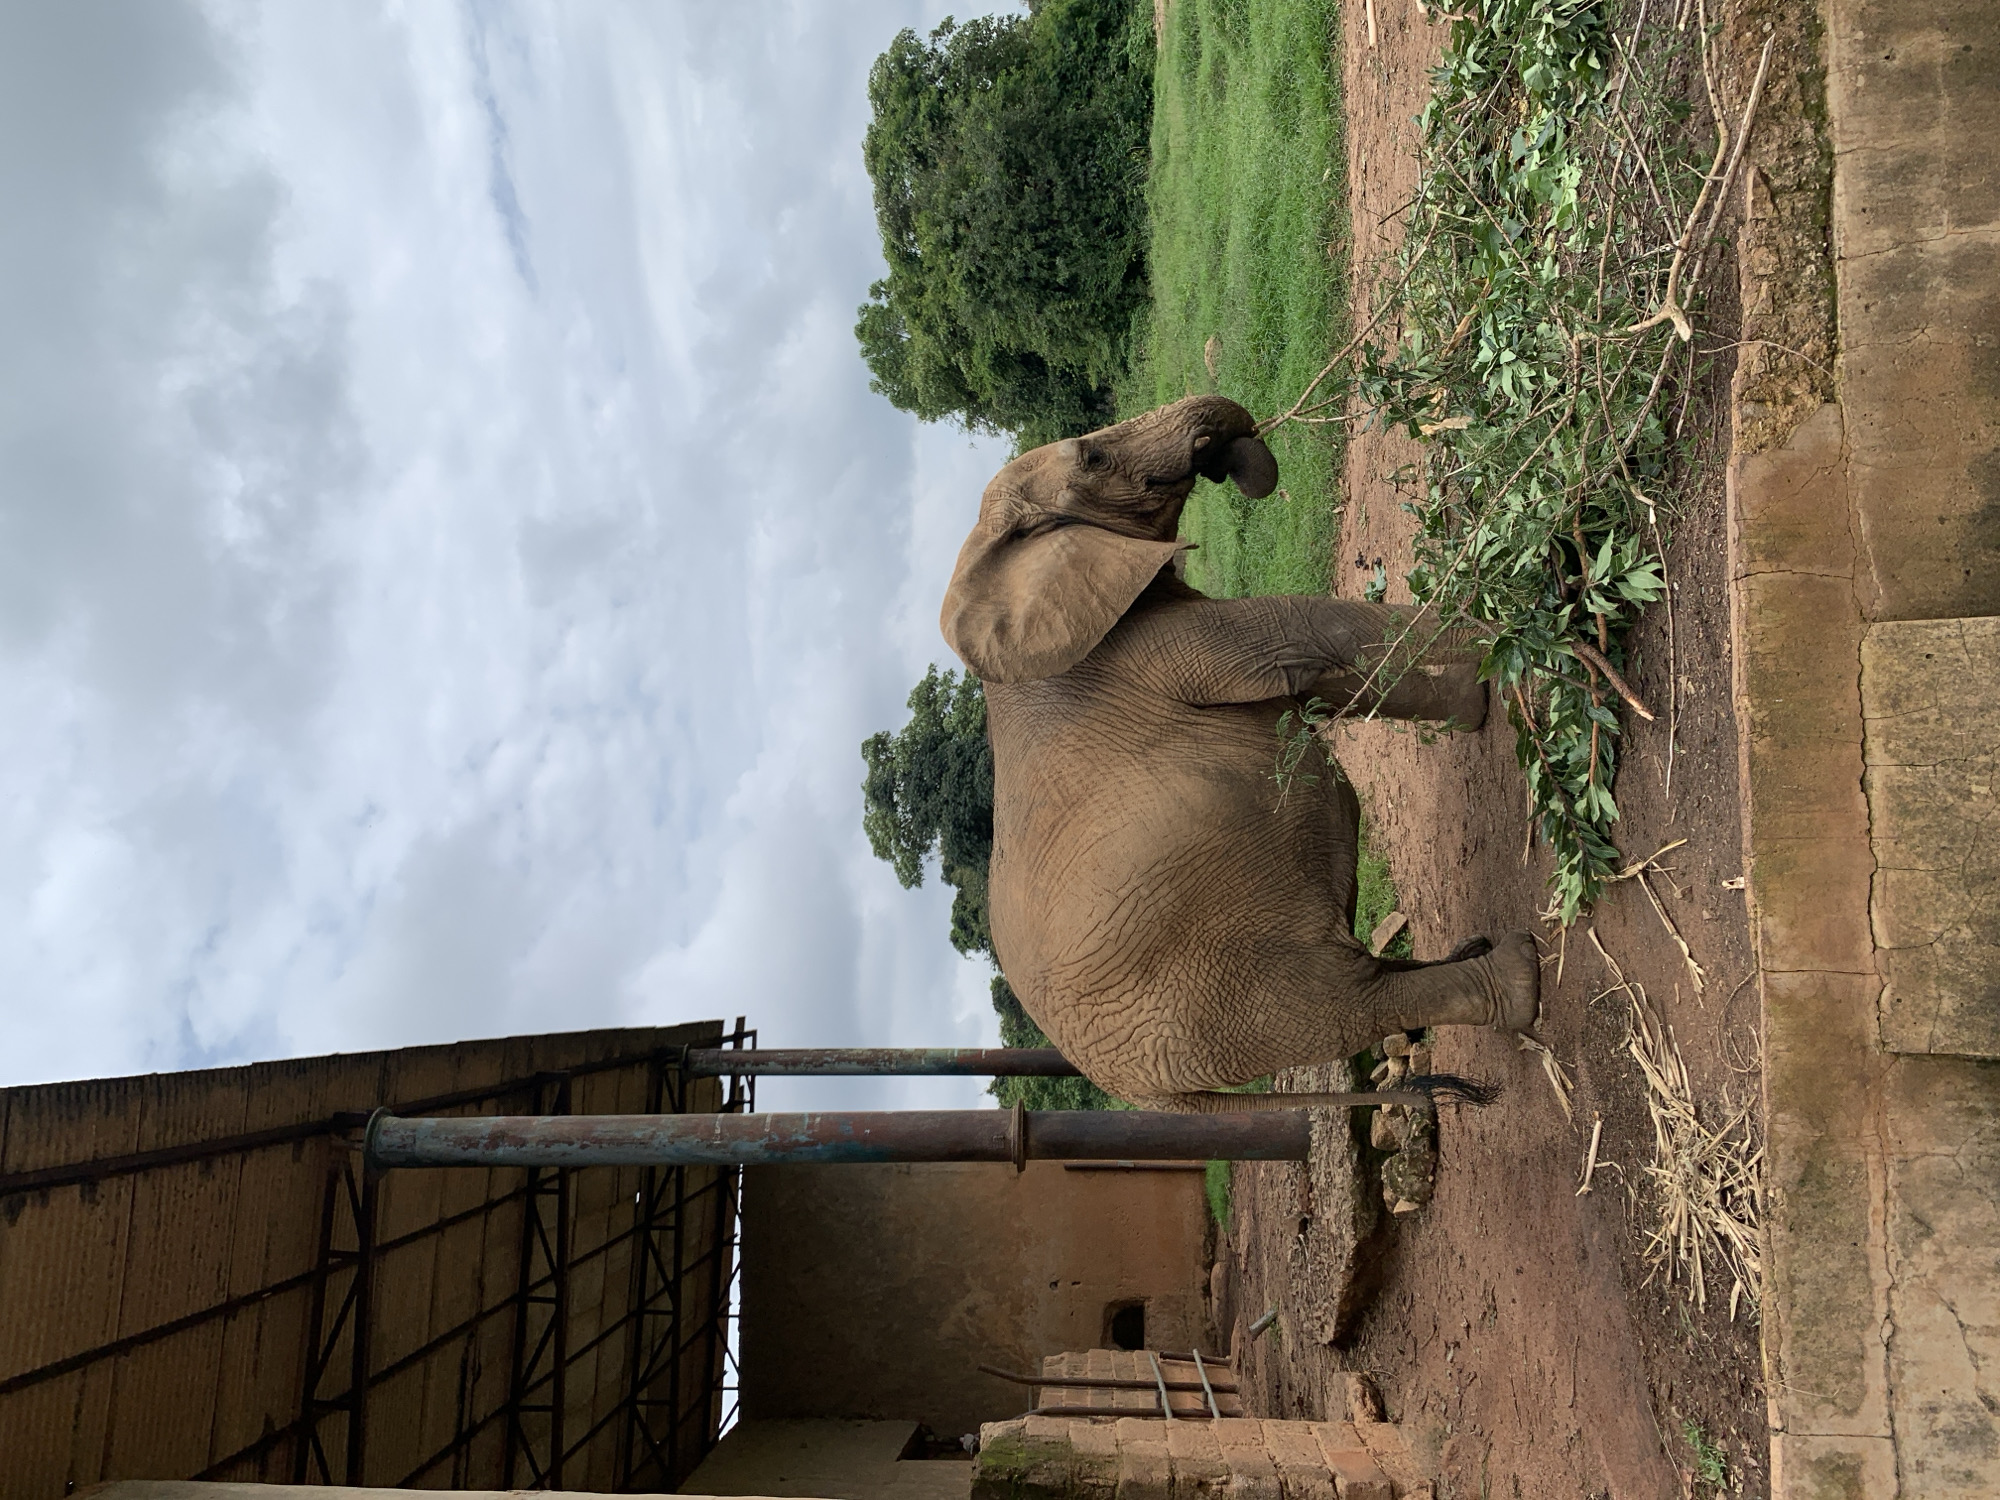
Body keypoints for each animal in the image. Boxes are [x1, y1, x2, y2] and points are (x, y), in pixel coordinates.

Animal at [940, 394, 1541, 1112]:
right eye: (1095, 456)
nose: (1233, 456)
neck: (983, 555)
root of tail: (1147, 1097)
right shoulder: (1141, 643)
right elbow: (1304, 634)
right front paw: (1525, 626)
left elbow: (1318, 681)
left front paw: (1485, 687)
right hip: (1219, 996)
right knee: (1351, 1003)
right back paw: (1521, 975)